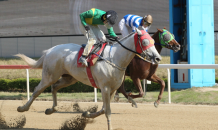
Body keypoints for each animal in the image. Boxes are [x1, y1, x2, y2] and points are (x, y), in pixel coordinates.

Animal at [15, 28, 161, 130]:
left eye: (153, 42)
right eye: (145, 42)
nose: (158, 58)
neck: (115, 58)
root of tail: (49, 50)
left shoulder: (113, 89)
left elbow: (103, 109)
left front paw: (86, 114)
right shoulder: (105, 87)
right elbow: (107, 111)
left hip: (69, 78)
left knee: (54, 87)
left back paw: (51, 109)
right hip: (49, 75)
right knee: (37, 90)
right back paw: (22, 108)